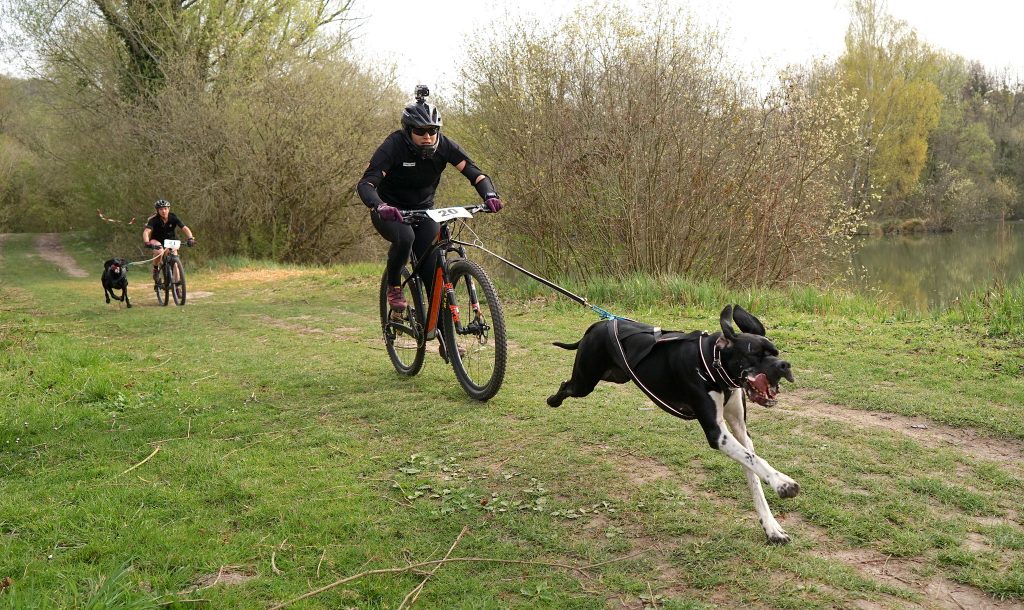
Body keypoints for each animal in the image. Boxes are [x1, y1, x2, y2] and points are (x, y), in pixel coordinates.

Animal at [552, 305, 798, 544]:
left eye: (776, 353)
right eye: (753, 354)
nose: (785, 365)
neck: (711, 362)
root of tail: (600, 324)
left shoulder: (740, 430)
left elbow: (753, 470)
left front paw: (771, 527)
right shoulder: (717, 433)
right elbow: (756, 460)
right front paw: (783, 483)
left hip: (615, 375)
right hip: (585, 382)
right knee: (566, 385)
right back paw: (553, 400)